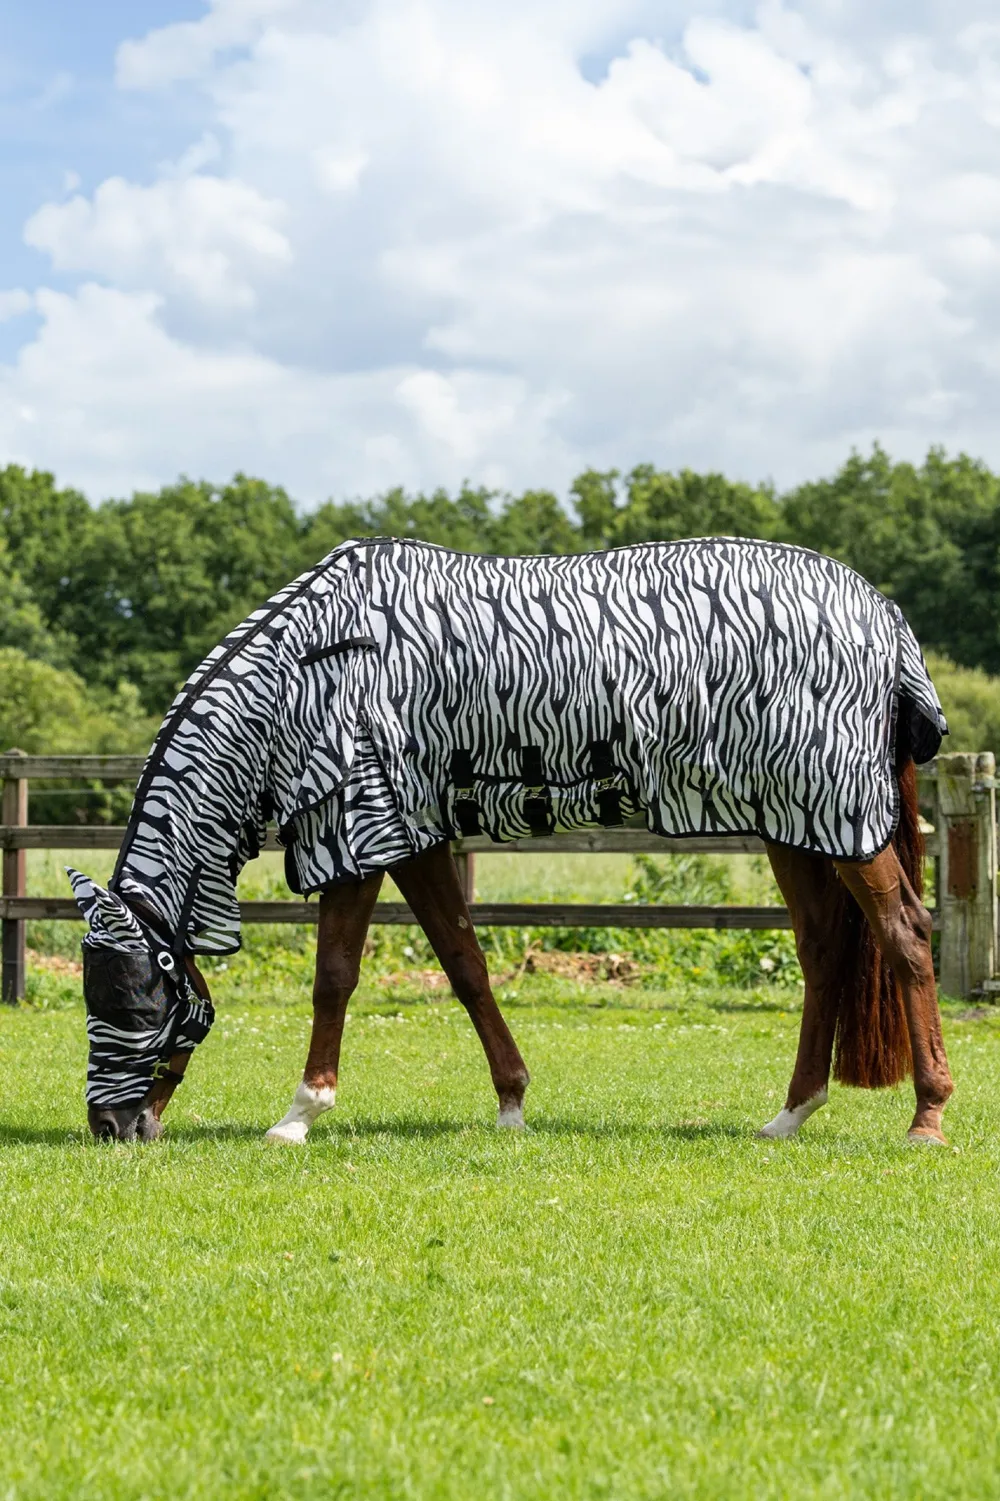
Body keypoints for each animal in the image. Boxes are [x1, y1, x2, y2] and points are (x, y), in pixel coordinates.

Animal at [68, 536, 953, 1146]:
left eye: (125, 997)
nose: (112, 1126)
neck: (306, 672)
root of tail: (884, 617)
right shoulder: (416, 838)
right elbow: (464, 964)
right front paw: (512, 1099)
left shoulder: (358, 828)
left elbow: (334, 976)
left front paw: (299, 1113)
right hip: (794, 826)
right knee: (825, 951)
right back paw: (790, 1114)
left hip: (837, 820)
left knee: (905, 933)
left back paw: (927, 1117)